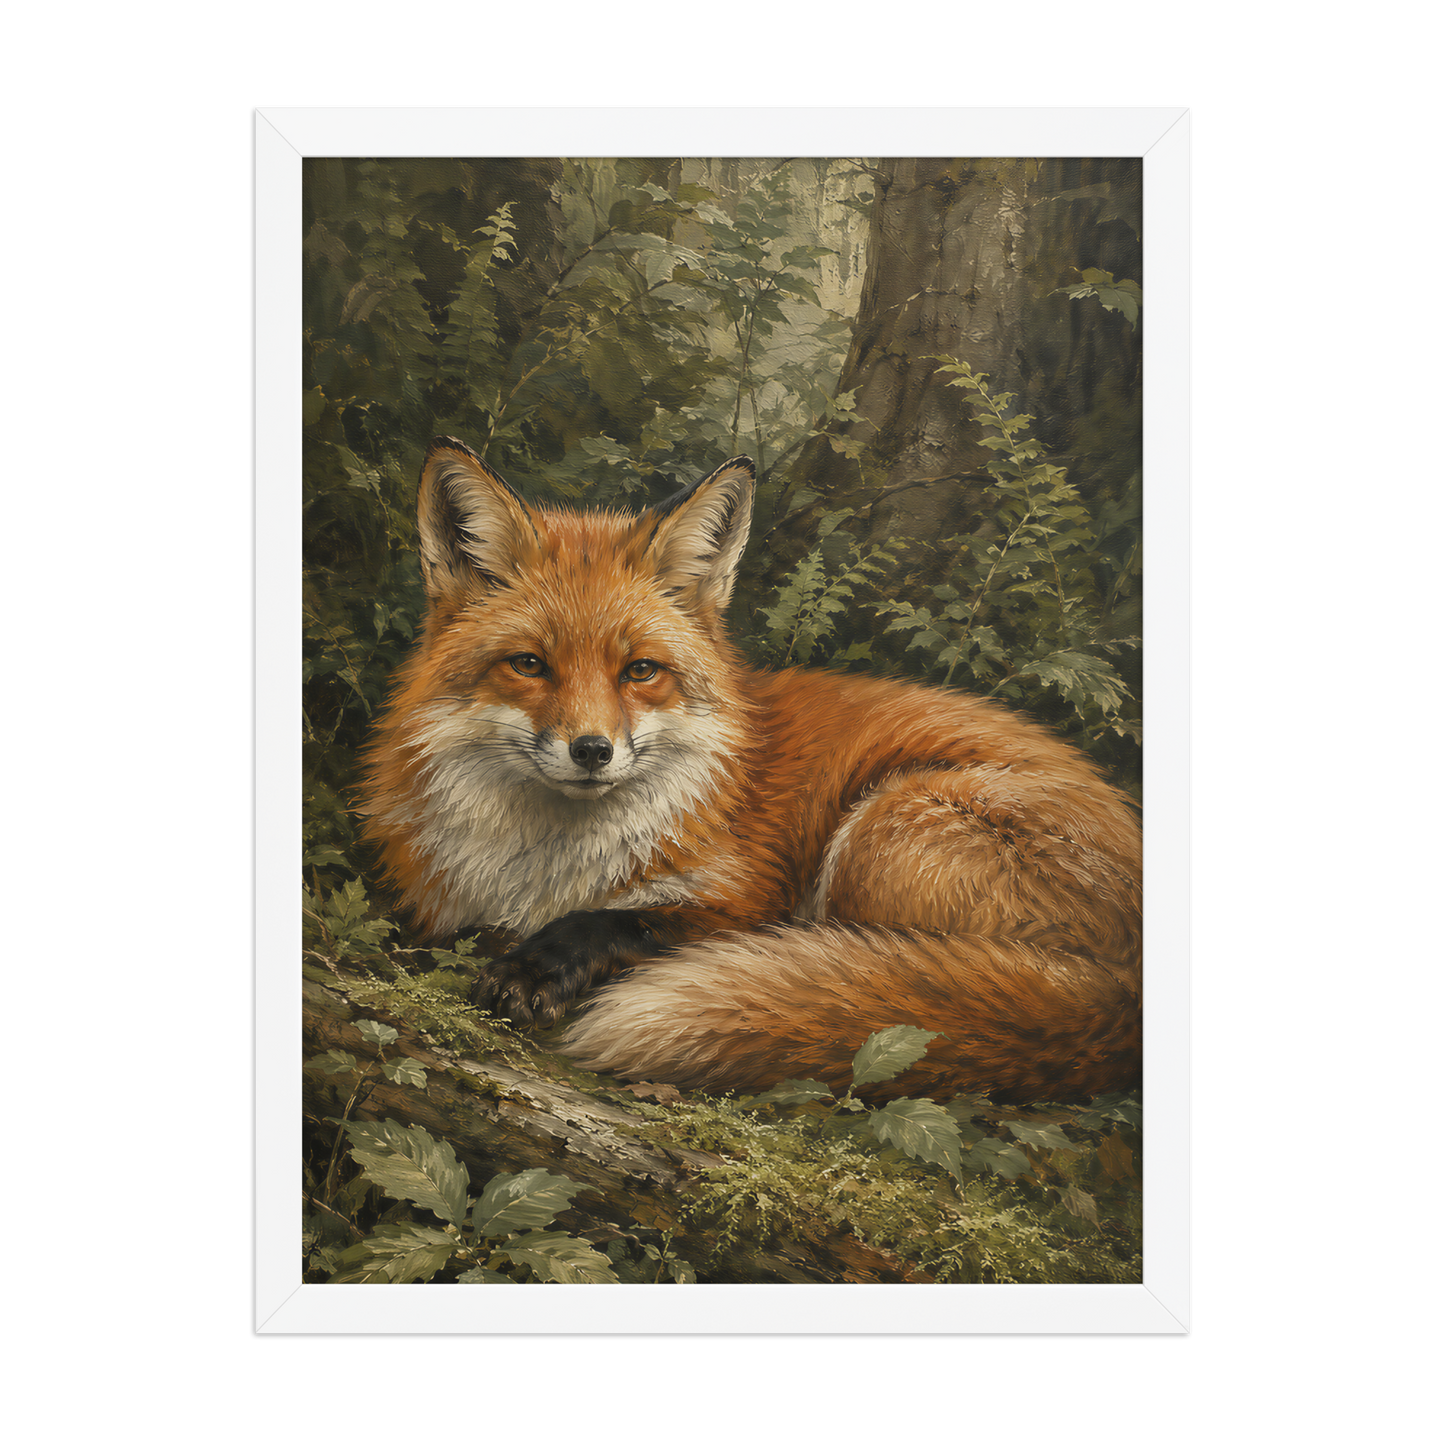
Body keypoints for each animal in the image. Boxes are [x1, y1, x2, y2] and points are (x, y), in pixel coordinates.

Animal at [358, 436, 1142, 1105]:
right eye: (529, 664)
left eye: (640, 671)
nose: (592, 750)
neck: (542, 869)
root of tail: (1126, 997)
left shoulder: (745, 902)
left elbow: (627, 923)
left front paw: (535, 967)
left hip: (880, 830)